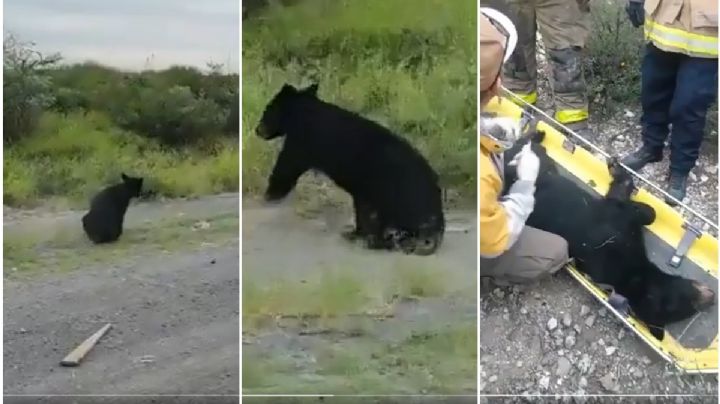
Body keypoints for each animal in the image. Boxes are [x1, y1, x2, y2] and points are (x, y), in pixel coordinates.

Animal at [255, 82, 445, 255]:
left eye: (267, 110)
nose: (257, 130)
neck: (304, 113)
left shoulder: (301, 142)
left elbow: (286, 166)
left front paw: (269, 195)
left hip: (391, 194)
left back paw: (373, 241)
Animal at [502, 130, 715, 340]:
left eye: (688, 310)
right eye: (688, 300)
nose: (712, 297)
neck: (634, 275)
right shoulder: (618, 223)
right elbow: (640, 209)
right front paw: (617, 169)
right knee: (524, 150)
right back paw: (536, 134)